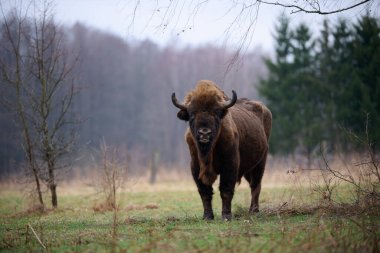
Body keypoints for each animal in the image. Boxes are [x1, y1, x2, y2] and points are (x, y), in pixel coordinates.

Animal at [171, 80, 272, 219]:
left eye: (216, 114)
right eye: (192, 115)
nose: (204, 133)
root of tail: (265, 110)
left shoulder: (230, 166)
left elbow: (226, 189)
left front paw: (226, 216)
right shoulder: (196, 167)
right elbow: (205, 192)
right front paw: (208, 216)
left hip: (261, 162)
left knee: (256, 185)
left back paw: (254, 211)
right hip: (249, 168)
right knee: (253, 184)